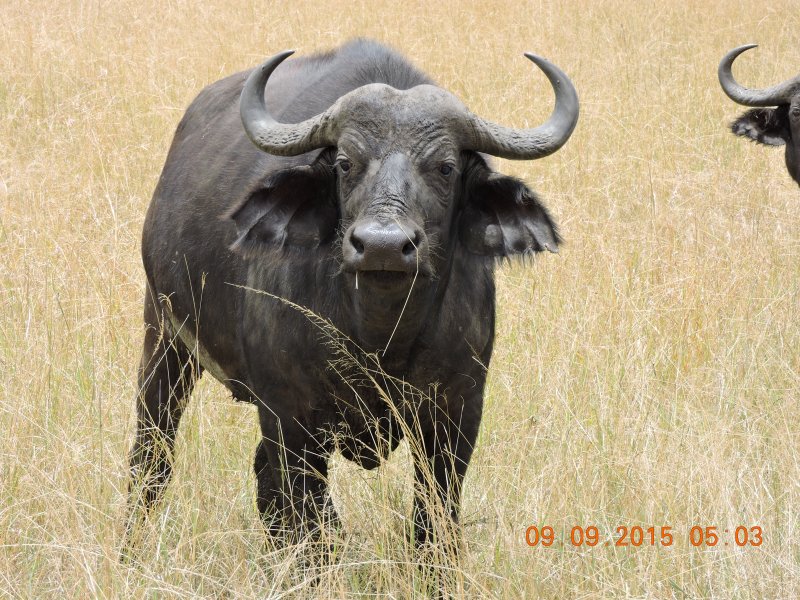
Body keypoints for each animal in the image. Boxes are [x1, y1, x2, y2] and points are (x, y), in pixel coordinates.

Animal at [124, 39, 578, 556]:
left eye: (445, 167)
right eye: (345, 163)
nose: (383, 245)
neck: (380, 337)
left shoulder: (457, 415)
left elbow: (432, 524)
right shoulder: (290, 417)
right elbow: (308, 526)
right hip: (164, 338)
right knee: (153, 457)